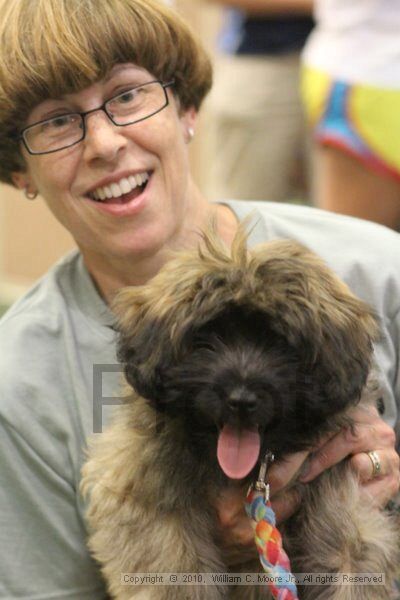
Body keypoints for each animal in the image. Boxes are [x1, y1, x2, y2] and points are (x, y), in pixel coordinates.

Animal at [80, 231, 396, 600]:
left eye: (280, 343)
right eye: (206, 337)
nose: (241, 400)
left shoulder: (343, 507)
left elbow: (348, 559)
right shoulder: (150, 503)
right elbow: (173, 571)